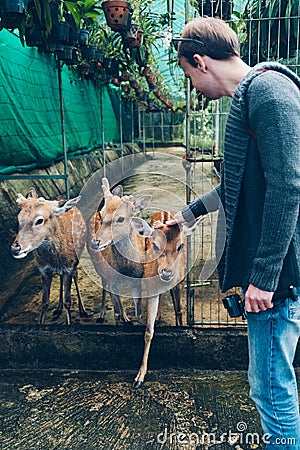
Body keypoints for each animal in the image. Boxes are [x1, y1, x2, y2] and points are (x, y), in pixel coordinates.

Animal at [10, 187, 87, 324]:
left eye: (39, 220)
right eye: (19, 218)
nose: (15, 248)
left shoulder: (69, 266)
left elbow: (68, 301)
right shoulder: (44, 270)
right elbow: (44, 302)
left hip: (76, 258)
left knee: (75, 275)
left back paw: (82, 310)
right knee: (61, 277)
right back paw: (58, 308)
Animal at [88, 178, 151, 324]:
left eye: (121, 218)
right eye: (102, 215)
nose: (95, 242)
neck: (125, 269)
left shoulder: (137, 279)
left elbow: (138, 313)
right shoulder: (112, 280)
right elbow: (116, 312)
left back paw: (126, 317)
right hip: (100, 270)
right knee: (104, 286)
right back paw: (102, 313)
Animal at [131, 211, 203, 386]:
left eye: (180, 246)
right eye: (155, 245)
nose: (166, 273)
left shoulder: (179, 284)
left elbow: (179, 312)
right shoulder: (151, 288)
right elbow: (148, 331)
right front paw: (139, 376)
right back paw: (158, 316)